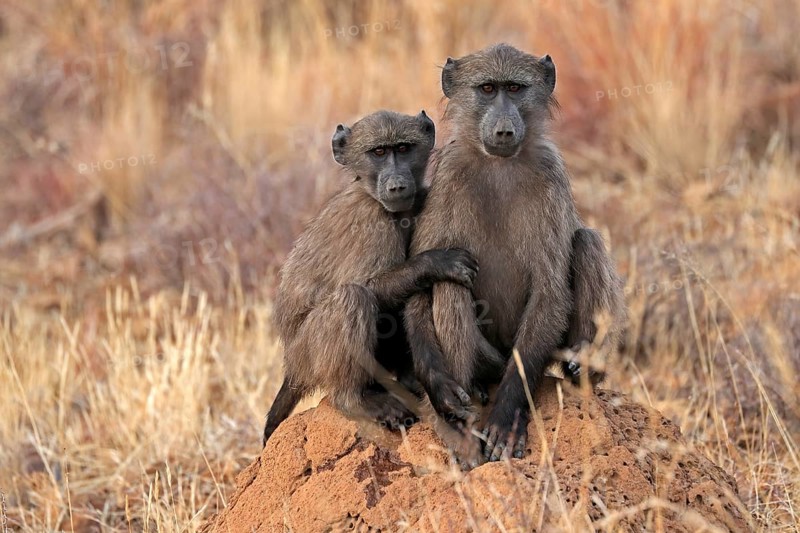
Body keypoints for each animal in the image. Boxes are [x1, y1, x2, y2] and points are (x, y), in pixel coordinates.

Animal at [262, 110, 480, 446]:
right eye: (378, 152)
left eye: (402, 149)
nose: (397, 185)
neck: (372, 195)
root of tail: (291, 365)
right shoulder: (370, 222)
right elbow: (369, 286)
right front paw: (438, 262)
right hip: (308, 353)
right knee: (352, 297)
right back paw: (355, 399)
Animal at [403, 44, 625, 464]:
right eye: (488, 88)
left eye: (515, 88)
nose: (504, 130)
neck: (499, 163)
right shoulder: (448, 174)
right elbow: (421, 287)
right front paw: (441, 393)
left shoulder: (551, 173)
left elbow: (550, 291)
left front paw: (507, 415)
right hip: (489, 358)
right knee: (450, 281)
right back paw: (460, 427)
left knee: (586, 242)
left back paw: (583, 371)